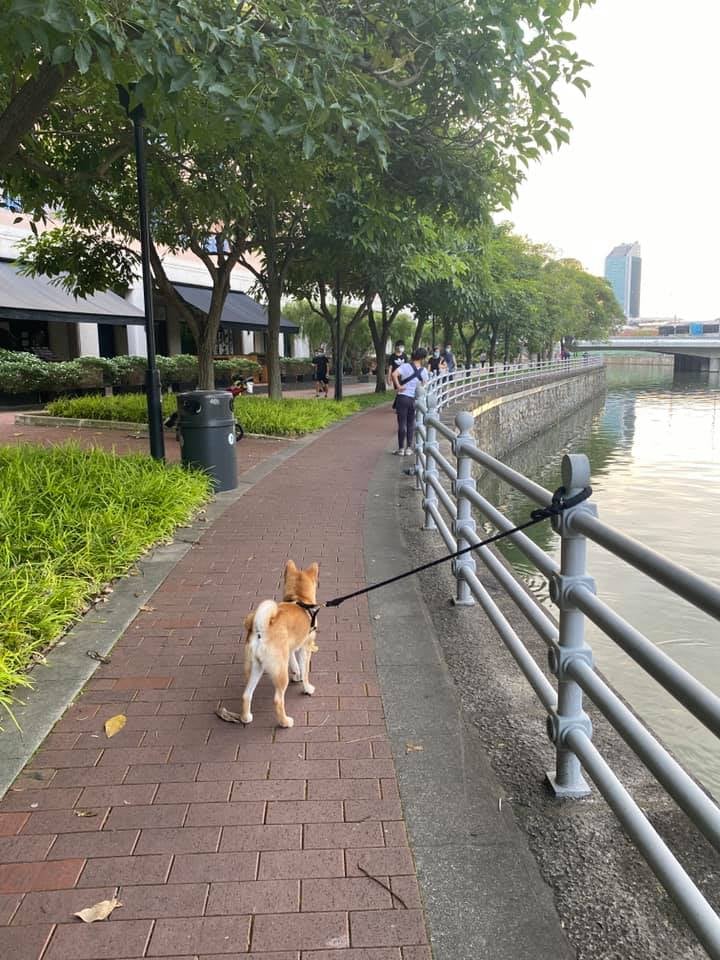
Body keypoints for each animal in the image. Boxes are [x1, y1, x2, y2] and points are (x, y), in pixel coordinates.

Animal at [239, 559, 319, 728]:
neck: (299, 599)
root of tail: (261, 630)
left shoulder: (290, 649)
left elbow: (295, 665)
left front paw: (297, 675)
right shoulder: (305, 648)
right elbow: (305, 671)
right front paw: (307, 688)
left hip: (256, 667)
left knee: (246, 694)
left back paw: (246, 717)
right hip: (280, 674)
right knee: (277, 700)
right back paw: (285, 722)